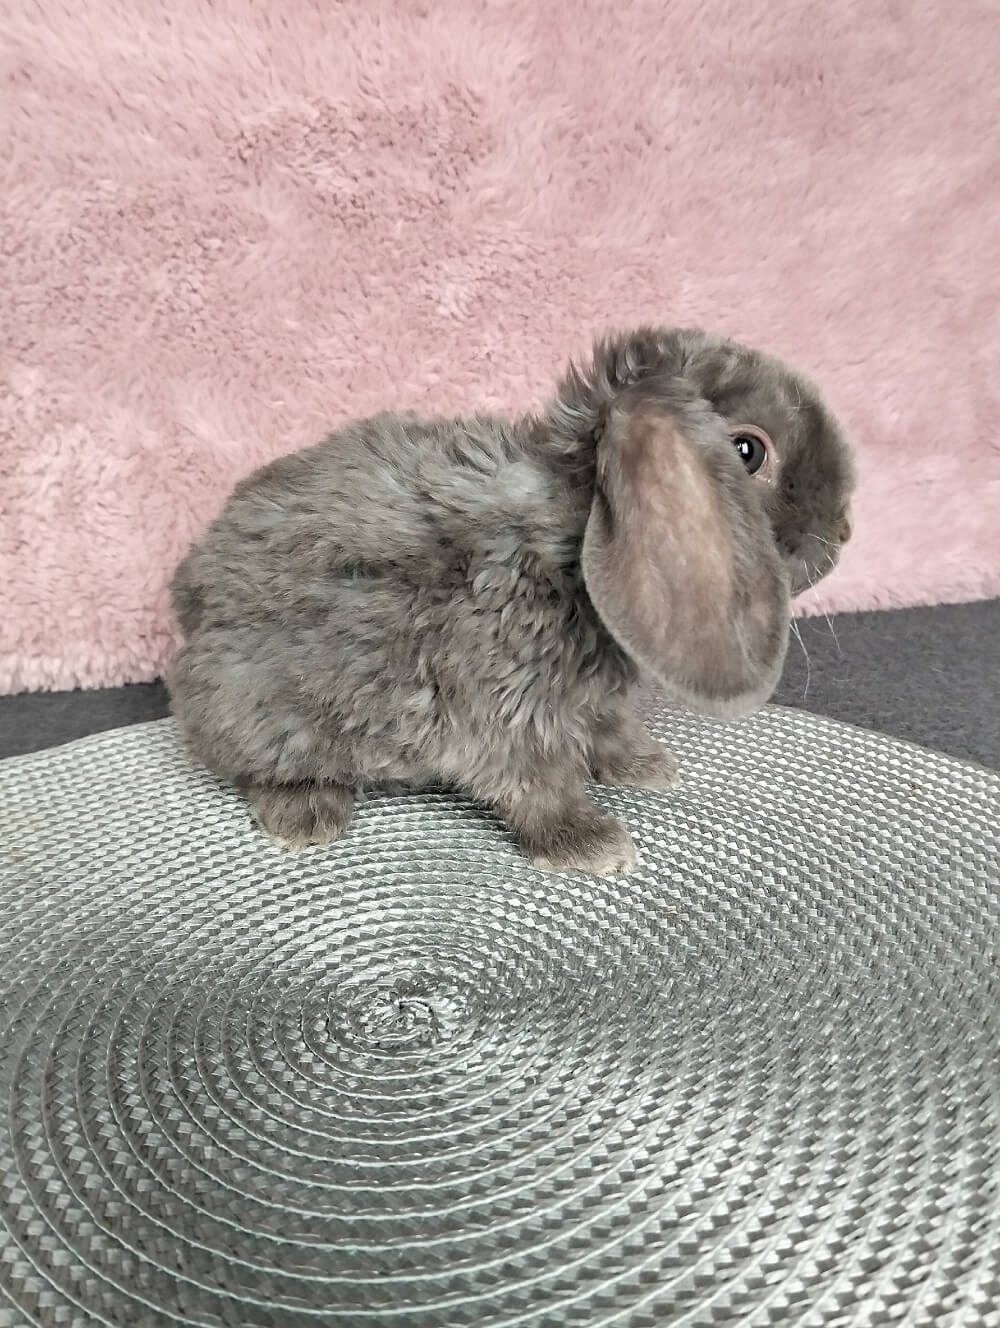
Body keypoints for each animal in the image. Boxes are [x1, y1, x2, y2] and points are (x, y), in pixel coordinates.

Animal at [168, 326, 855, 876]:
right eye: (748, 451)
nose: (842, 531)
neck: (572, 532)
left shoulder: (589, 703)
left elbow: (609, 729)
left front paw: (644, 766)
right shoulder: (503, 706)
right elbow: (535, 783)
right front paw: (590, 845)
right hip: (265, 707)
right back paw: (306, 814)